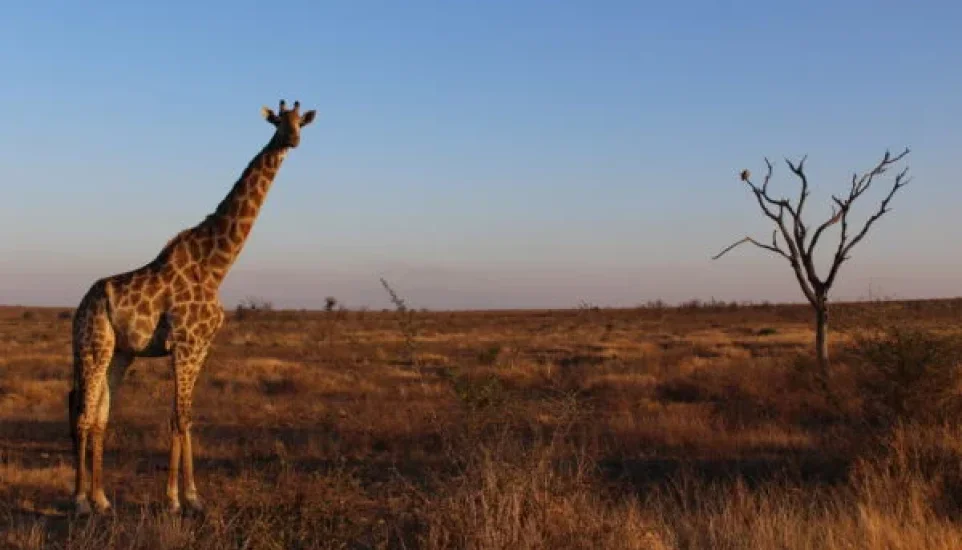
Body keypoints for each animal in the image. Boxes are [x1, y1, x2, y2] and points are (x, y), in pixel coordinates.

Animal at [68, 99, 317, 515]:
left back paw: (102, 499)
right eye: (278, 122)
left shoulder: (201, 346)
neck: (215, 266)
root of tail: (80, 307)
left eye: (302, 123)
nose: (292, 139)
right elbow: (176, 418)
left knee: (101, 415)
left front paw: (194, 497)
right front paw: (173, 499)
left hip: (120, 352)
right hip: (94, 345)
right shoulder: (184, 344)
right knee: (83, 415)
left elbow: (187, 418)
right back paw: (80, 500)